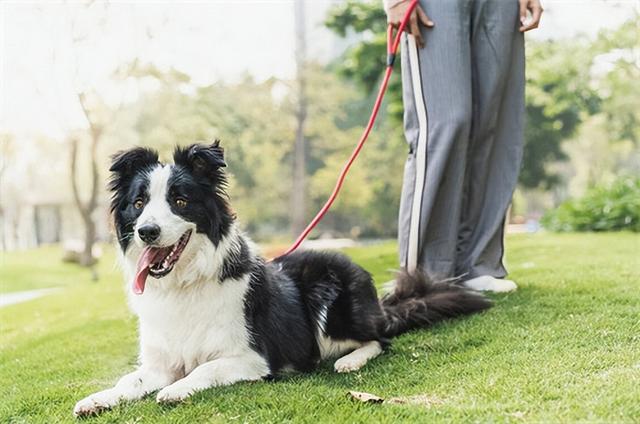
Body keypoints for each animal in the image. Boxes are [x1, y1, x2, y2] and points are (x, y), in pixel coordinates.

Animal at [74, 141, 490, 416]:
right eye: (139, 203)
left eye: (180, 201)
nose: (147, 231)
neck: (184, 283)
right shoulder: (160, 363)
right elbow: (130, 381)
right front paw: (98, 399)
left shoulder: (253, 358)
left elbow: (207, 367)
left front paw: (177, 390)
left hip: (330, 301)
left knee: (380, 340)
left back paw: (350, 361)